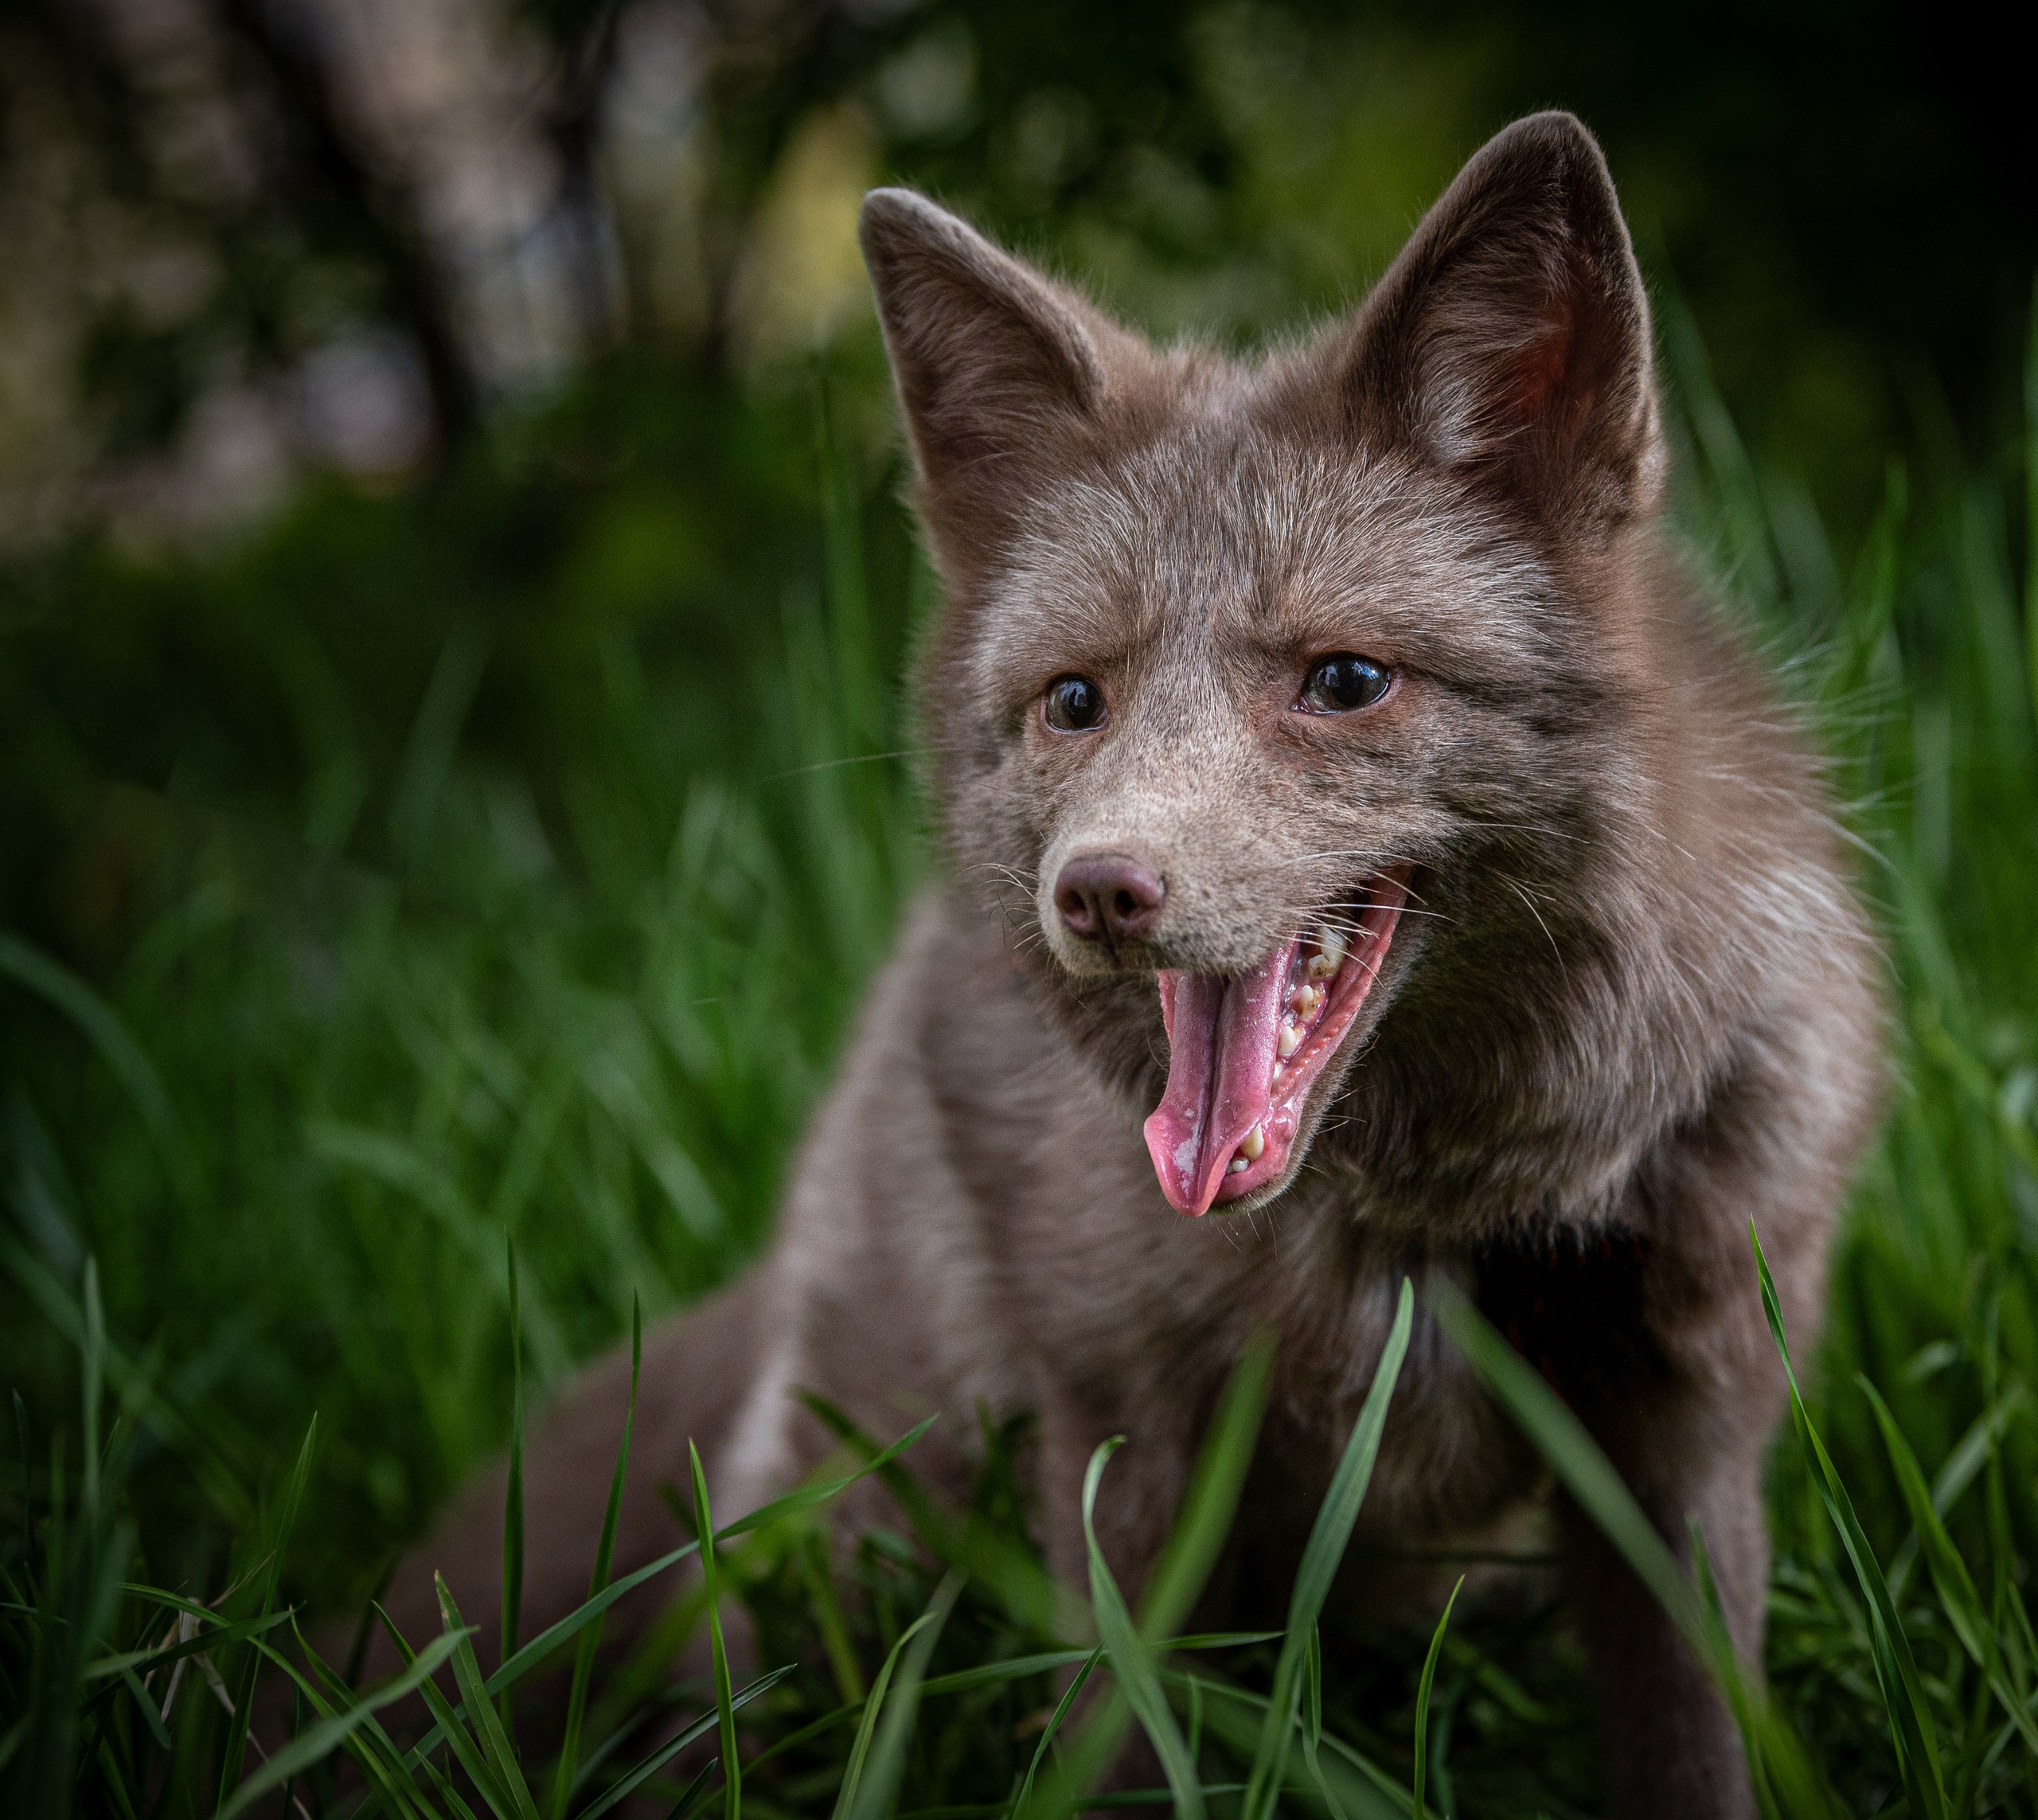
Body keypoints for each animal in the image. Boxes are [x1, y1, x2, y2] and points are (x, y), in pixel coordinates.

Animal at [374, 112, 1882, 1817]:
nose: (1095, 891)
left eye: (1345, 681)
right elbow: (1112, 1745)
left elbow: (1706, 1747)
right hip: (837, 1554)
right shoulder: (1122, 1457)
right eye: (1075, 701)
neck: (1435, 1225)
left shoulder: (1683, 1439)